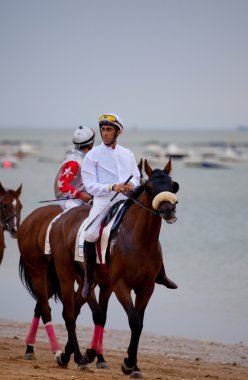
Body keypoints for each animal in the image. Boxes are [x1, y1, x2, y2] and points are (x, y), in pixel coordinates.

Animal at [49, 158, 179, 378]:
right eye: (150, 187)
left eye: (172, 186)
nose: (168, 210)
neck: (139, 240)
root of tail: (61, 219)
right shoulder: (120, 285)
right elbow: (134, 320)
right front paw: (127, 364)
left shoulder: (146, 288)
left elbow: (139, 323)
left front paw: (133, 366)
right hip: (66, 275)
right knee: (70, 314)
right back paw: (79, 358)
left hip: (88, 281)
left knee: (78, 308)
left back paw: (68, 356)